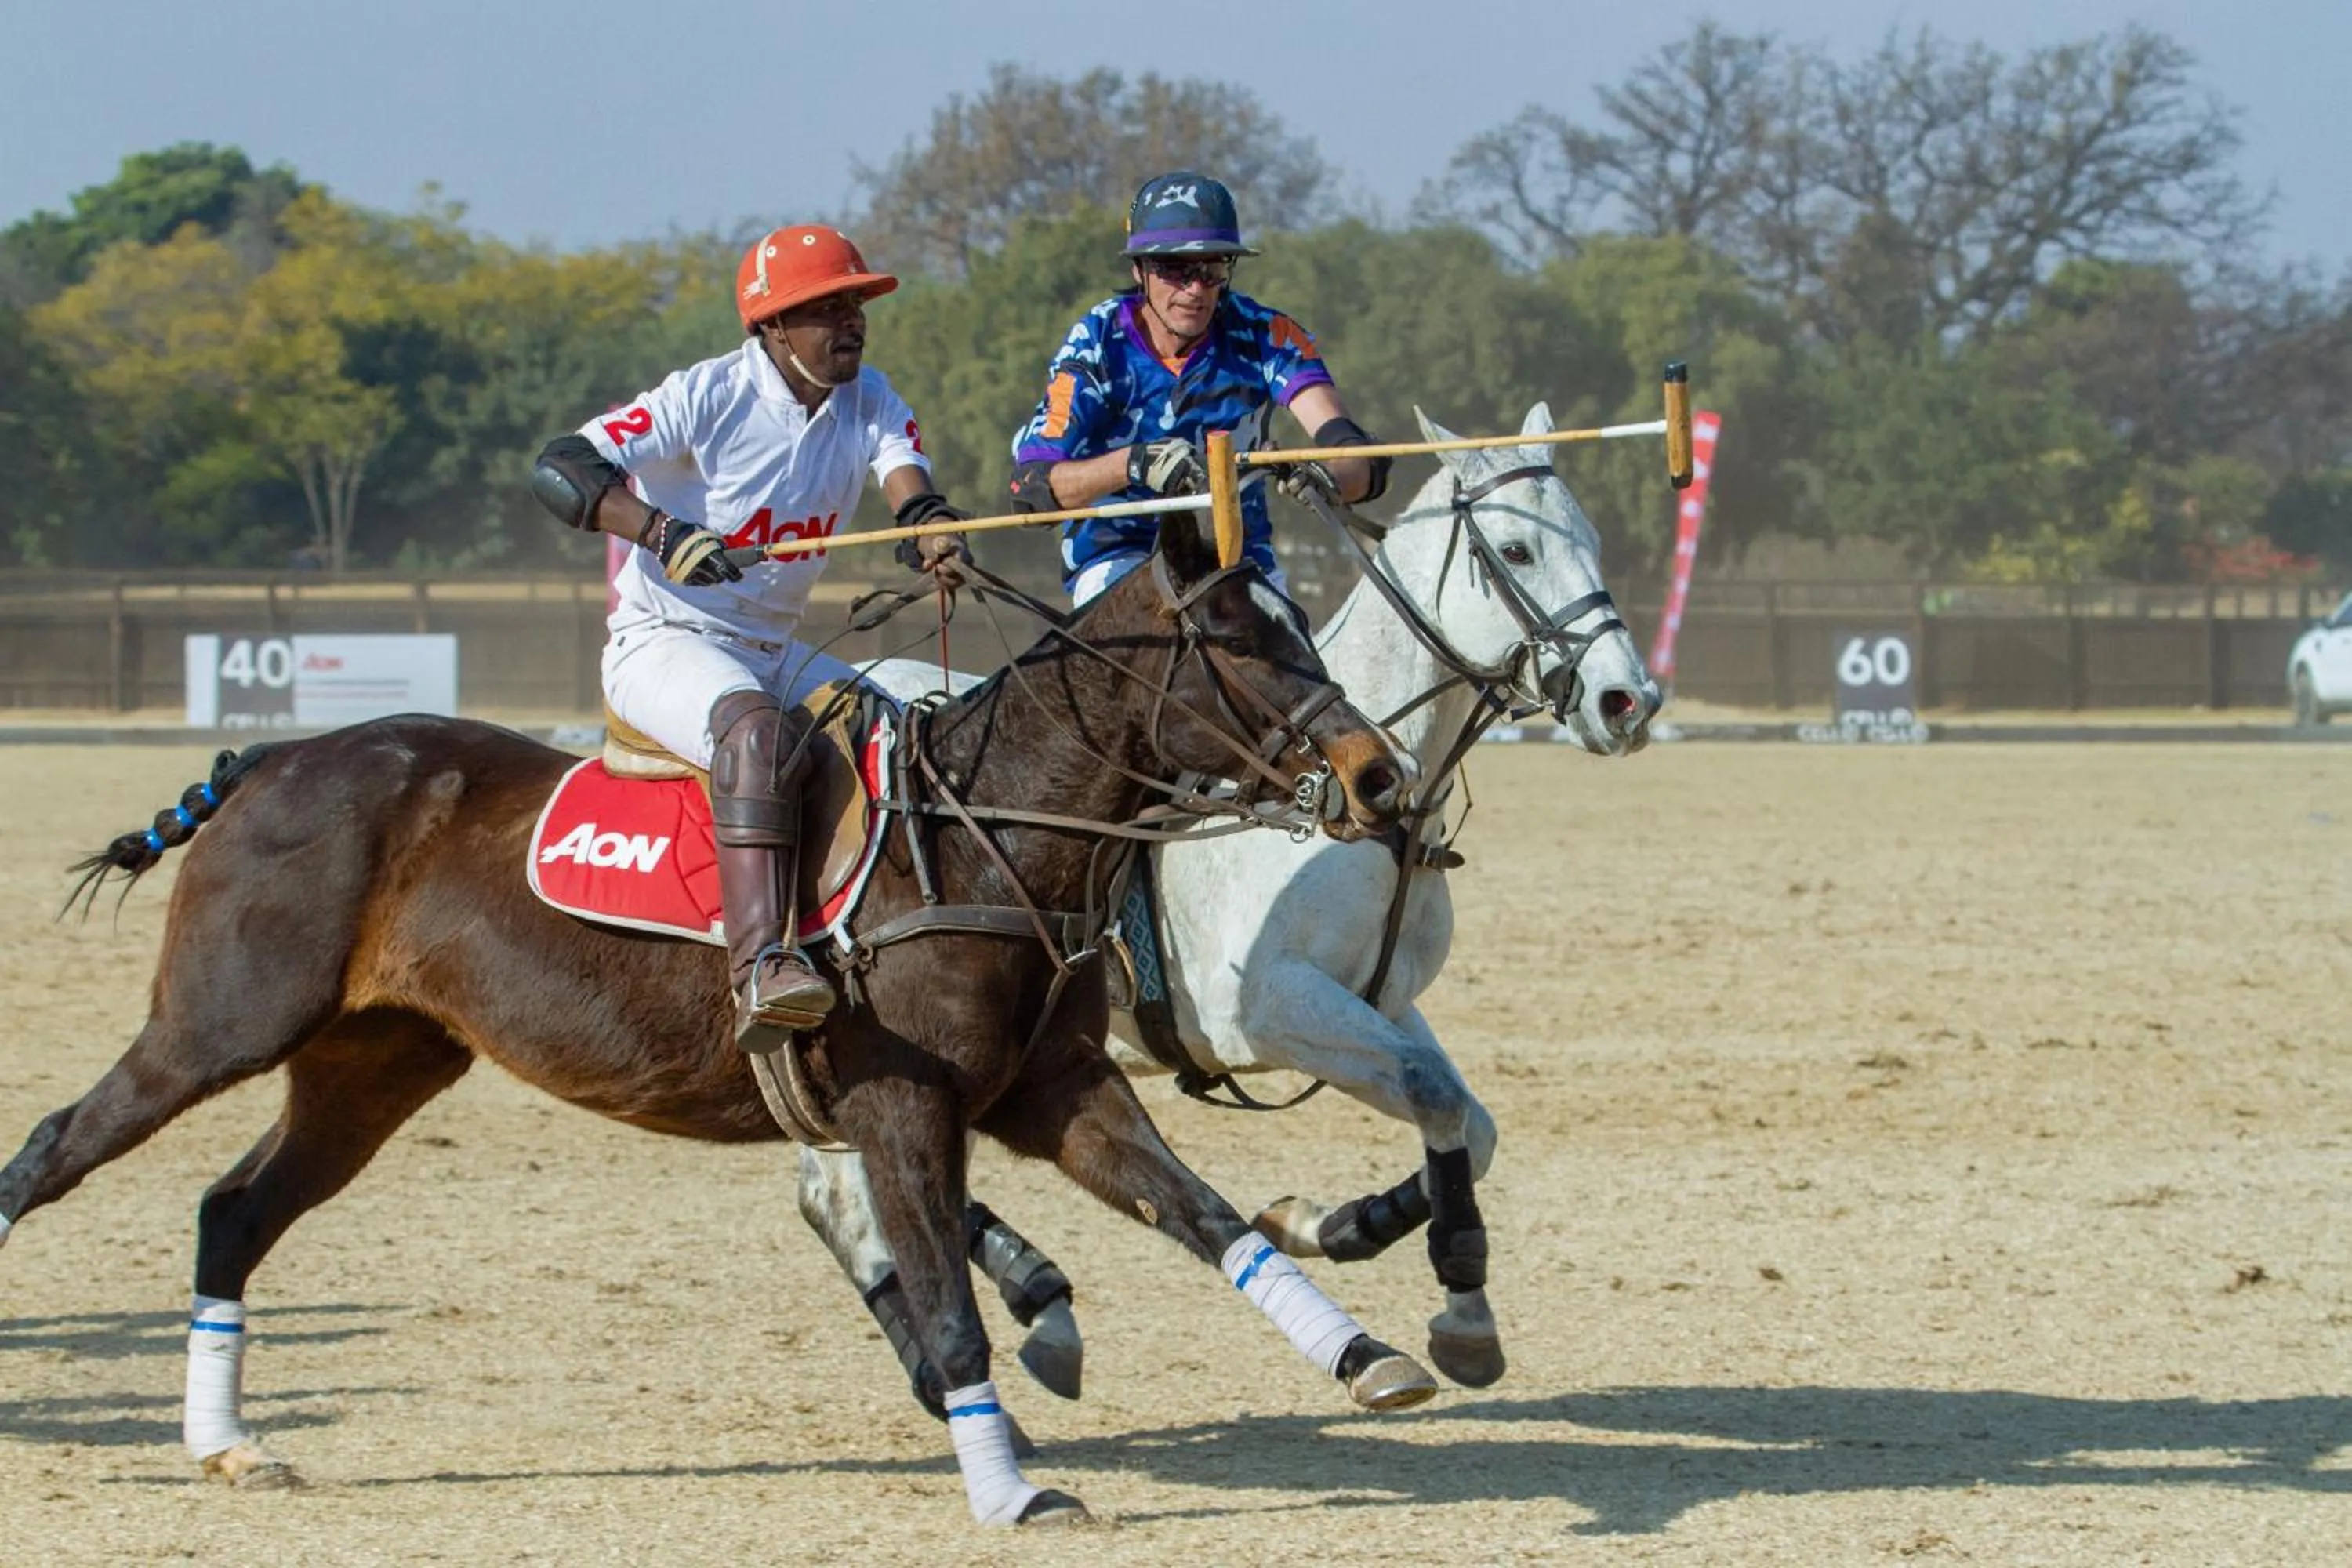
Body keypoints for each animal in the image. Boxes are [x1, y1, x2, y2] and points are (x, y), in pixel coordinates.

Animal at [0, 515, 1434, 1529]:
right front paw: (1014, 1491)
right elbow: (950, 1301)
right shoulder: (902, 1103)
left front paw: (1370, 1357)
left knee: (232, 1211)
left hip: (377, 1064)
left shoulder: (1057, 1089)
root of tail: (268, 761)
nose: (1381, 779)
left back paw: (232, 1447)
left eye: (1301, 628)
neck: (986, 837)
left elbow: (1205, 1216)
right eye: (1242, 644)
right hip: (221, 1022)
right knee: (58, 1143)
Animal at [798, 402, 1659, 1412]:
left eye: (1592, 537)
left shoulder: (1383, 998)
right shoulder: (1265, 1007)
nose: (1630, 699)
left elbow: (1470, 1127)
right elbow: (1437, 1094)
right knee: (841, 1189)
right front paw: (1456, 1300)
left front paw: (1333, 1228)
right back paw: (1032, 1292)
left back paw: (1036, 1302)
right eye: (1517, 549)